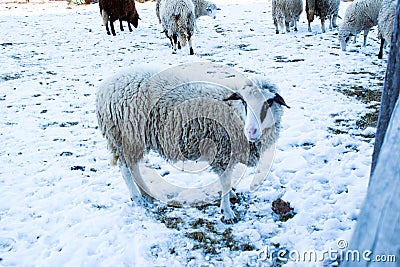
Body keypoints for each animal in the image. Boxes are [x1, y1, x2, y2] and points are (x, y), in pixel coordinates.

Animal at [97, 63, 290, 223]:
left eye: (269, 102)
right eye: (243, 101)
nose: (251, 132)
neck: (233, 111)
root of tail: (107, 86)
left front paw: (230, 197)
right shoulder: (223, 151)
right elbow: (225, 183)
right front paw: (227, 212)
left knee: (133, 166)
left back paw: (145, 193)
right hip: (127, 135)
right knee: (125, 167)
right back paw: (137, 197)